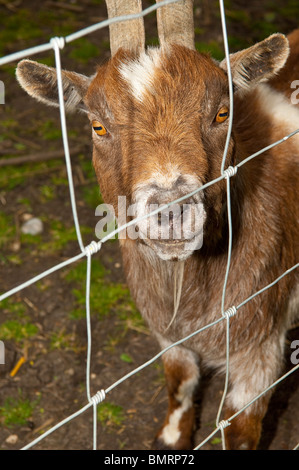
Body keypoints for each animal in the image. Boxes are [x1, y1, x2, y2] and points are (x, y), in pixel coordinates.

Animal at [16, 0, 299, 452]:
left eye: (222, 112)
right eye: (98, 125)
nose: (171, 209)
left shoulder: (261, 346)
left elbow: (240, 429)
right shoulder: (167, 334)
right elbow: (180, 380)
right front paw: (170, 436)